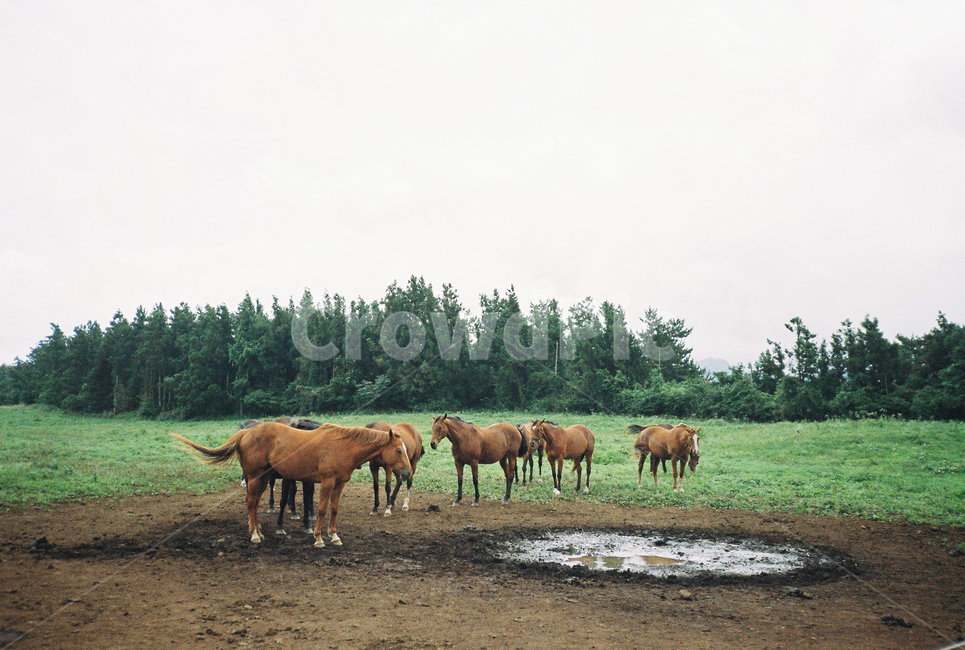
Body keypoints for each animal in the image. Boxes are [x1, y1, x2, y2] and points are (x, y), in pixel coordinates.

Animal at [173, 421, 412, 547]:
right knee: (250, 503)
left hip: (263, 479)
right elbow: (322, 509)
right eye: (398, 450)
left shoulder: (339, 484)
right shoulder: (327, 482)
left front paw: (334, 536)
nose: (408, 473)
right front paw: (318, 538)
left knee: (254, 503)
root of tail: (246, 432)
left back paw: (259, 532)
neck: (343, 446)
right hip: (255, 476)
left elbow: (334, 509)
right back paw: (254, 536)